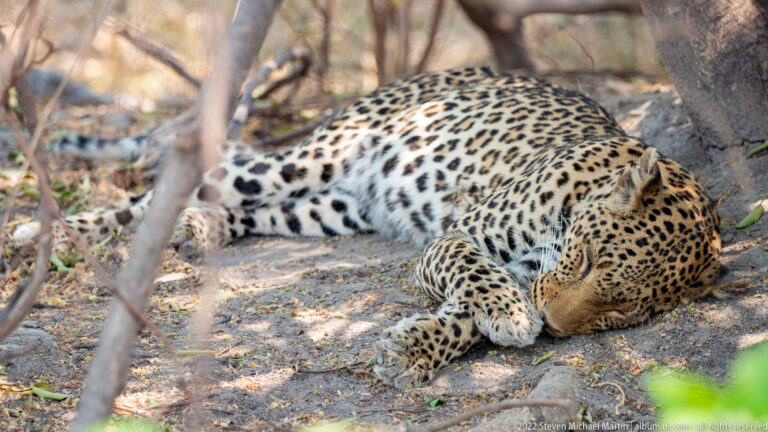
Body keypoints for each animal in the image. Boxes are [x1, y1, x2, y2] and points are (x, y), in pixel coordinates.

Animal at [13, 67, 741, 389]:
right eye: (587, 259)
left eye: (620, 313)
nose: (559, 327)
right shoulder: (456, 239)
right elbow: (479, 280)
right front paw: (509, 314)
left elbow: (463, 318)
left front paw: (413, 349)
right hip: (321, 155)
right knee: (180, 177)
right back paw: (44, 233)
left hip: (332, 208)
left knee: (248, 205)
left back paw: (201, 228)